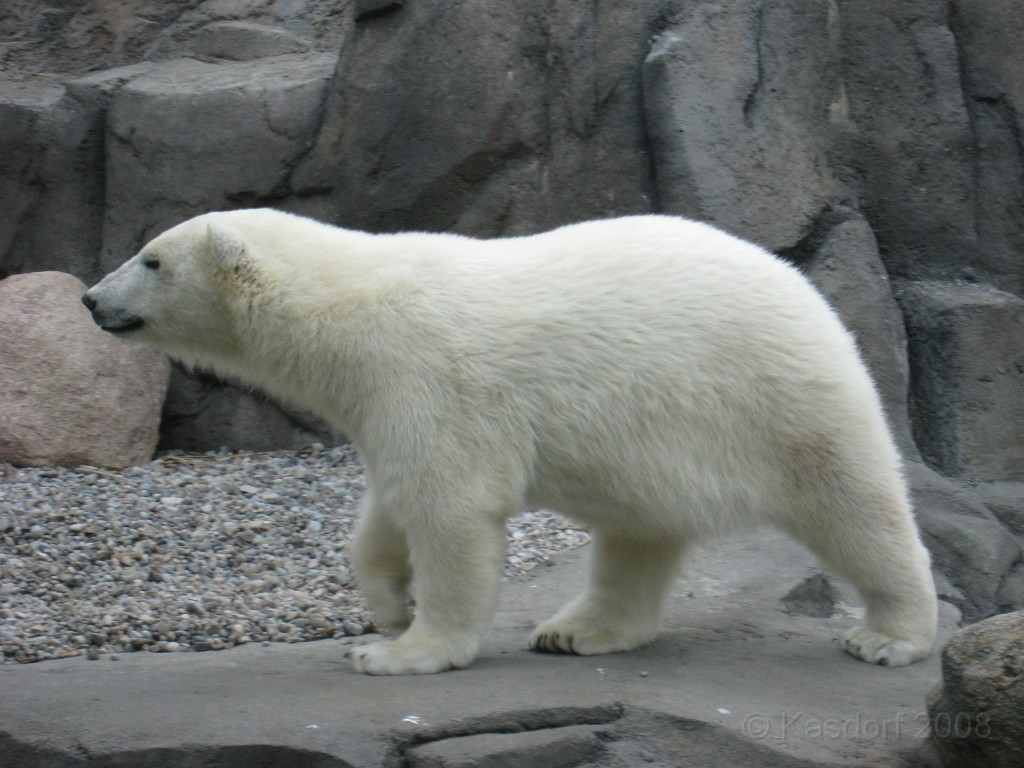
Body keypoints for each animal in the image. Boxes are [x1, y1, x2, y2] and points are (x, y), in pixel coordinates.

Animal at [83, 208, 937, 671]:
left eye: (151, 258)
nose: (91, 299)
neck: (348, 308)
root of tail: (813, 299)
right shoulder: (387, 399)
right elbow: (390, 504)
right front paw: (387, 606)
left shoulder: (427, 373)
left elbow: (450, 511)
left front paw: (402, 651)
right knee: (637, 536)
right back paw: (577, 630)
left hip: (775, 399)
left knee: (855, 508)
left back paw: (891, 635)